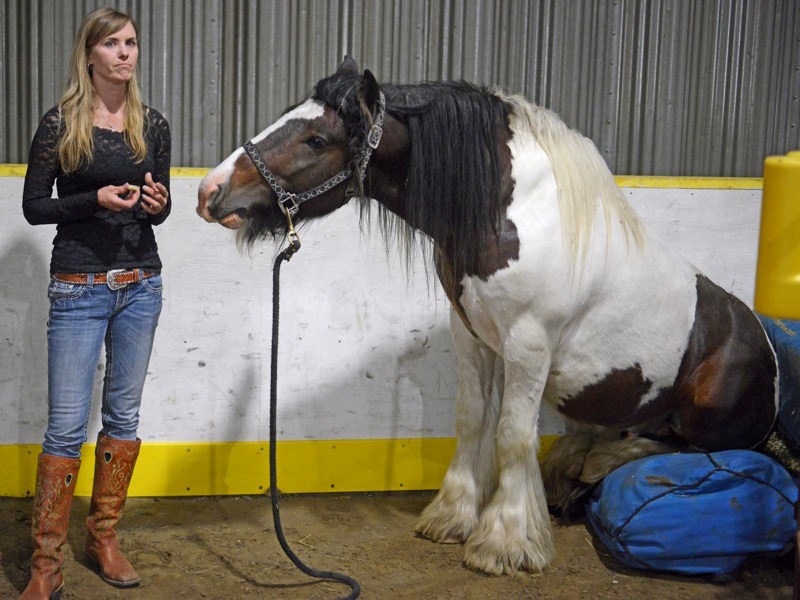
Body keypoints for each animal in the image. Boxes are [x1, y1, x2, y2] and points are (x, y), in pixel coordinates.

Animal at [197, 57, 780, 576]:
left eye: (316, 140)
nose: (210, 191)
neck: (505, 211)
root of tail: (767, 350)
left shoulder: (528, 345)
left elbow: (513, 435)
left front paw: (504, 541)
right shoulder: (473, 336)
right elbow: (473, 418)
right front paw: (451, 516)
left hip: (705, 417)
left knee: (680, 447)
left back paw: (591, 466)